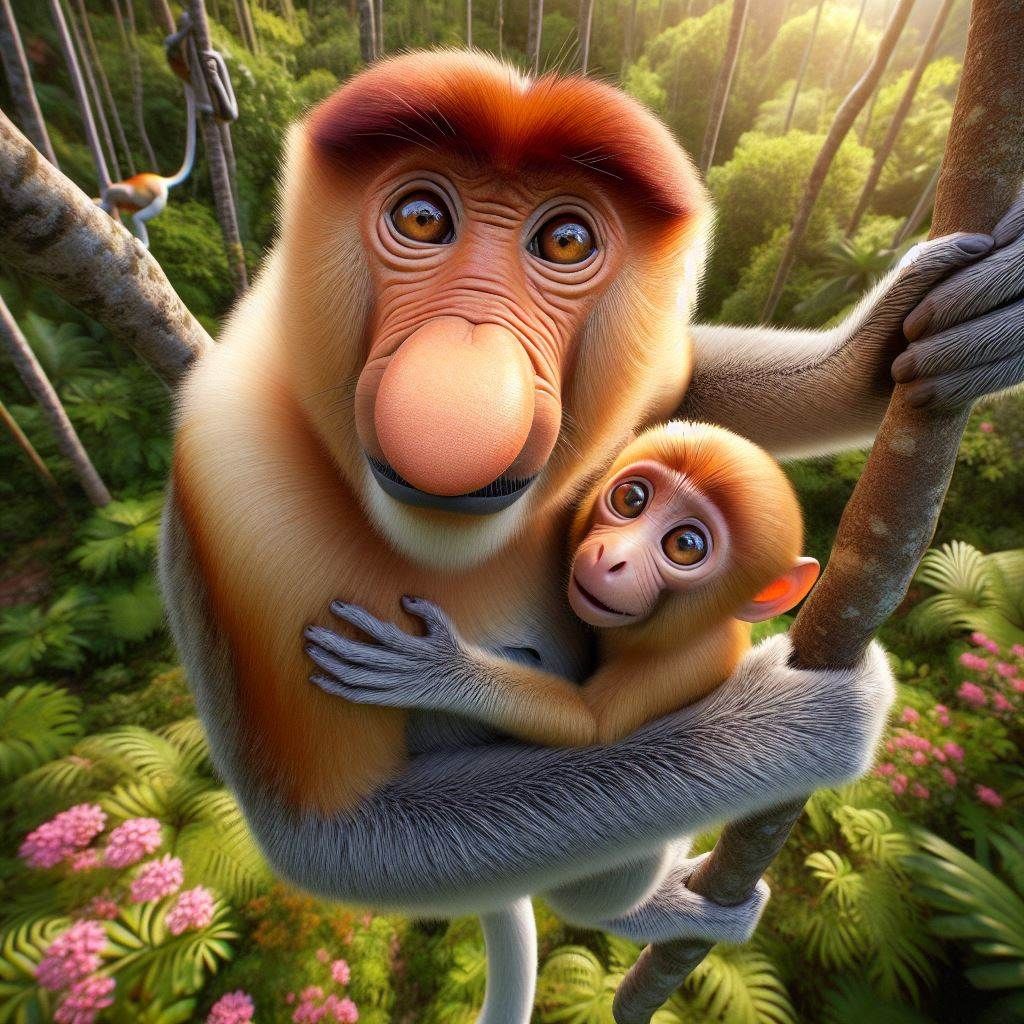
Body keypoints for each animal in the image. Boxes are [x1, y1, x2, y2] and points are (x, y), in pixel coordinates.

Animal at [303, 420, 822, 748]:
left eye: (686, 545)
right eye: (632, 498)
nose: (612, 558)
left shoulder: (687, 662)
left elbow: (590, 730)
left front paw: (440, 670)